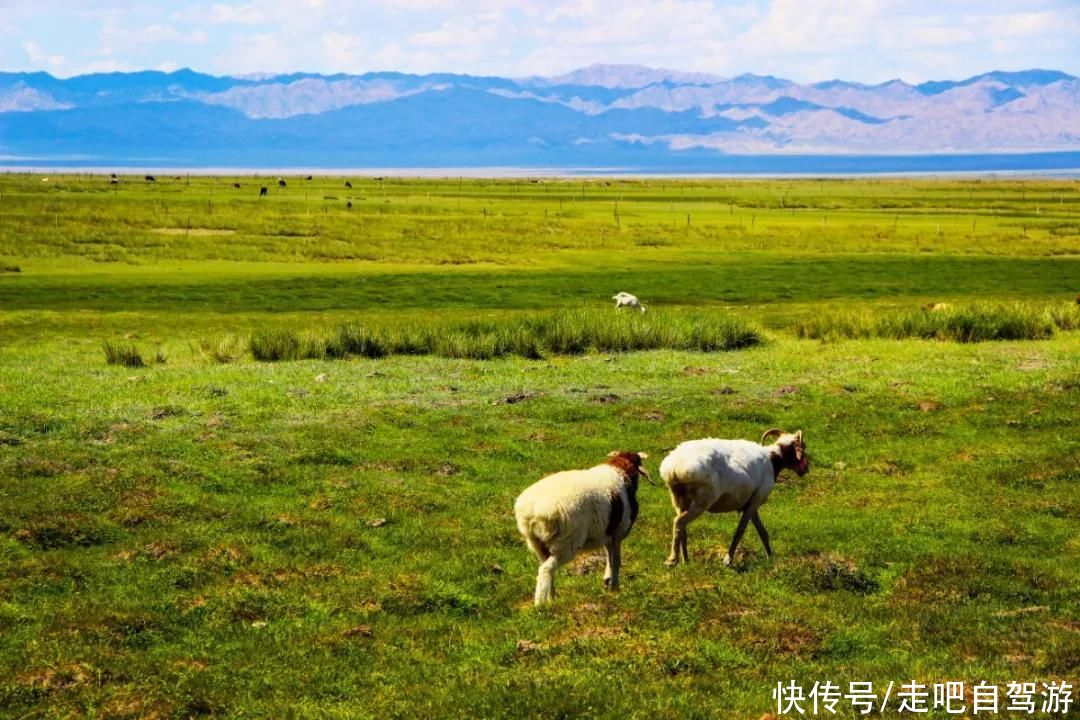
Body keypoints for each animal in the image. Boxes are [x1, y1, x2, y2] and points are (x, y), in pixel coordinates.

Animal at [514, 453, 648, 604]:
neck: (620, 472)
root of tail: (535, 511)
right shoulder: (618, 532)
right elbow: (616, 560)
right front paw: (615, 588)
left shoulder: (607, 533)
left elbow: (610, 557)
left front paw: (608, 582)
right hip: (567, 542)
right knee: (546, 569)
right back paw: (540, 603)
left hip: (537, 543)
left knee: (546, 566)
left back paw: (551, 598)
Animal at [656, 427, 812, 569]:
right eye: (803, 447)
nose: (806, 470)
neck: (773, 460)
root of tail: (674, 467)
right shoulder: (755, 501)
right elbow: (740, 530)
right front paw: (728, 560)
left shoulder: (752, 503)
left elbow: (762, 531)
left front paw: (770, 557)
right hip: (703, 499)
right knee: (679, 522)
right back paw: (672, 560)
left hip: (679, 499)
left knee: (682, 525)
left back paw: (686, 559)